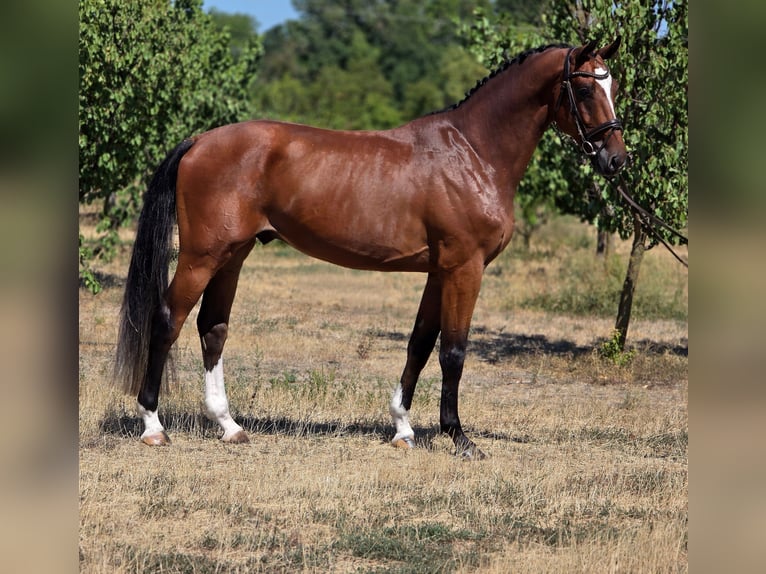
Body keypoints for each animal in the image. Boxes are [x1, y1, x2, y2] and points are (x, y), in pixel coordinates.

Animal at [115, 38, 627, 459]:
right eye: (585, 90)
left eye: (614, 85)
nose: (617, 160)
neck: (473, 153)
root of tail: (200, 140)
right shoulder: (465, 268)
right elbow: (454, 351)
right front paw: (459, 438)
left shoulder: (439, 271)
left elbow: (420, 343)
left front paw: (403, 429)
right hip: (202, 256)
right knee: (168, 321)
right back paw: (153, 426)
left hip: (232, 255)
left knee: (212, 328)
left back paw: (229, 425)